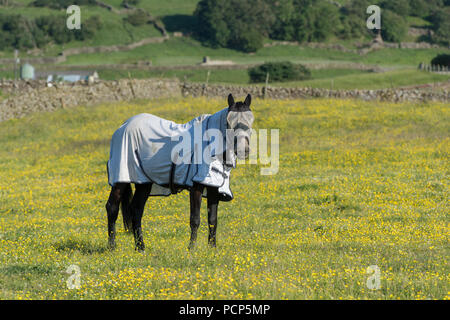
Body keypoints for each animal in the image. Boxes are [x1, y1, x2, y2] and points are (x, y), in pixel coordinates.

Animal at [104, 94, 253, 251]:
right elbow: (195, 219)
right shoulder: (196, 187)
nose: (243, 149)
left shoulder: (213, 186)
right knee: (112, 207)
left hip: (143, 182)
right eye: (228, 123)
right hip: (121, 179)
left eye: (250, 121)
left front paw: (212, 247)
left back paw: (140, 247)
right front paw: (191, 248)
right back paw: (112, 246)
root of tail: (123, 127)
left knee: (136, 210)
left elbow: (213, 219)